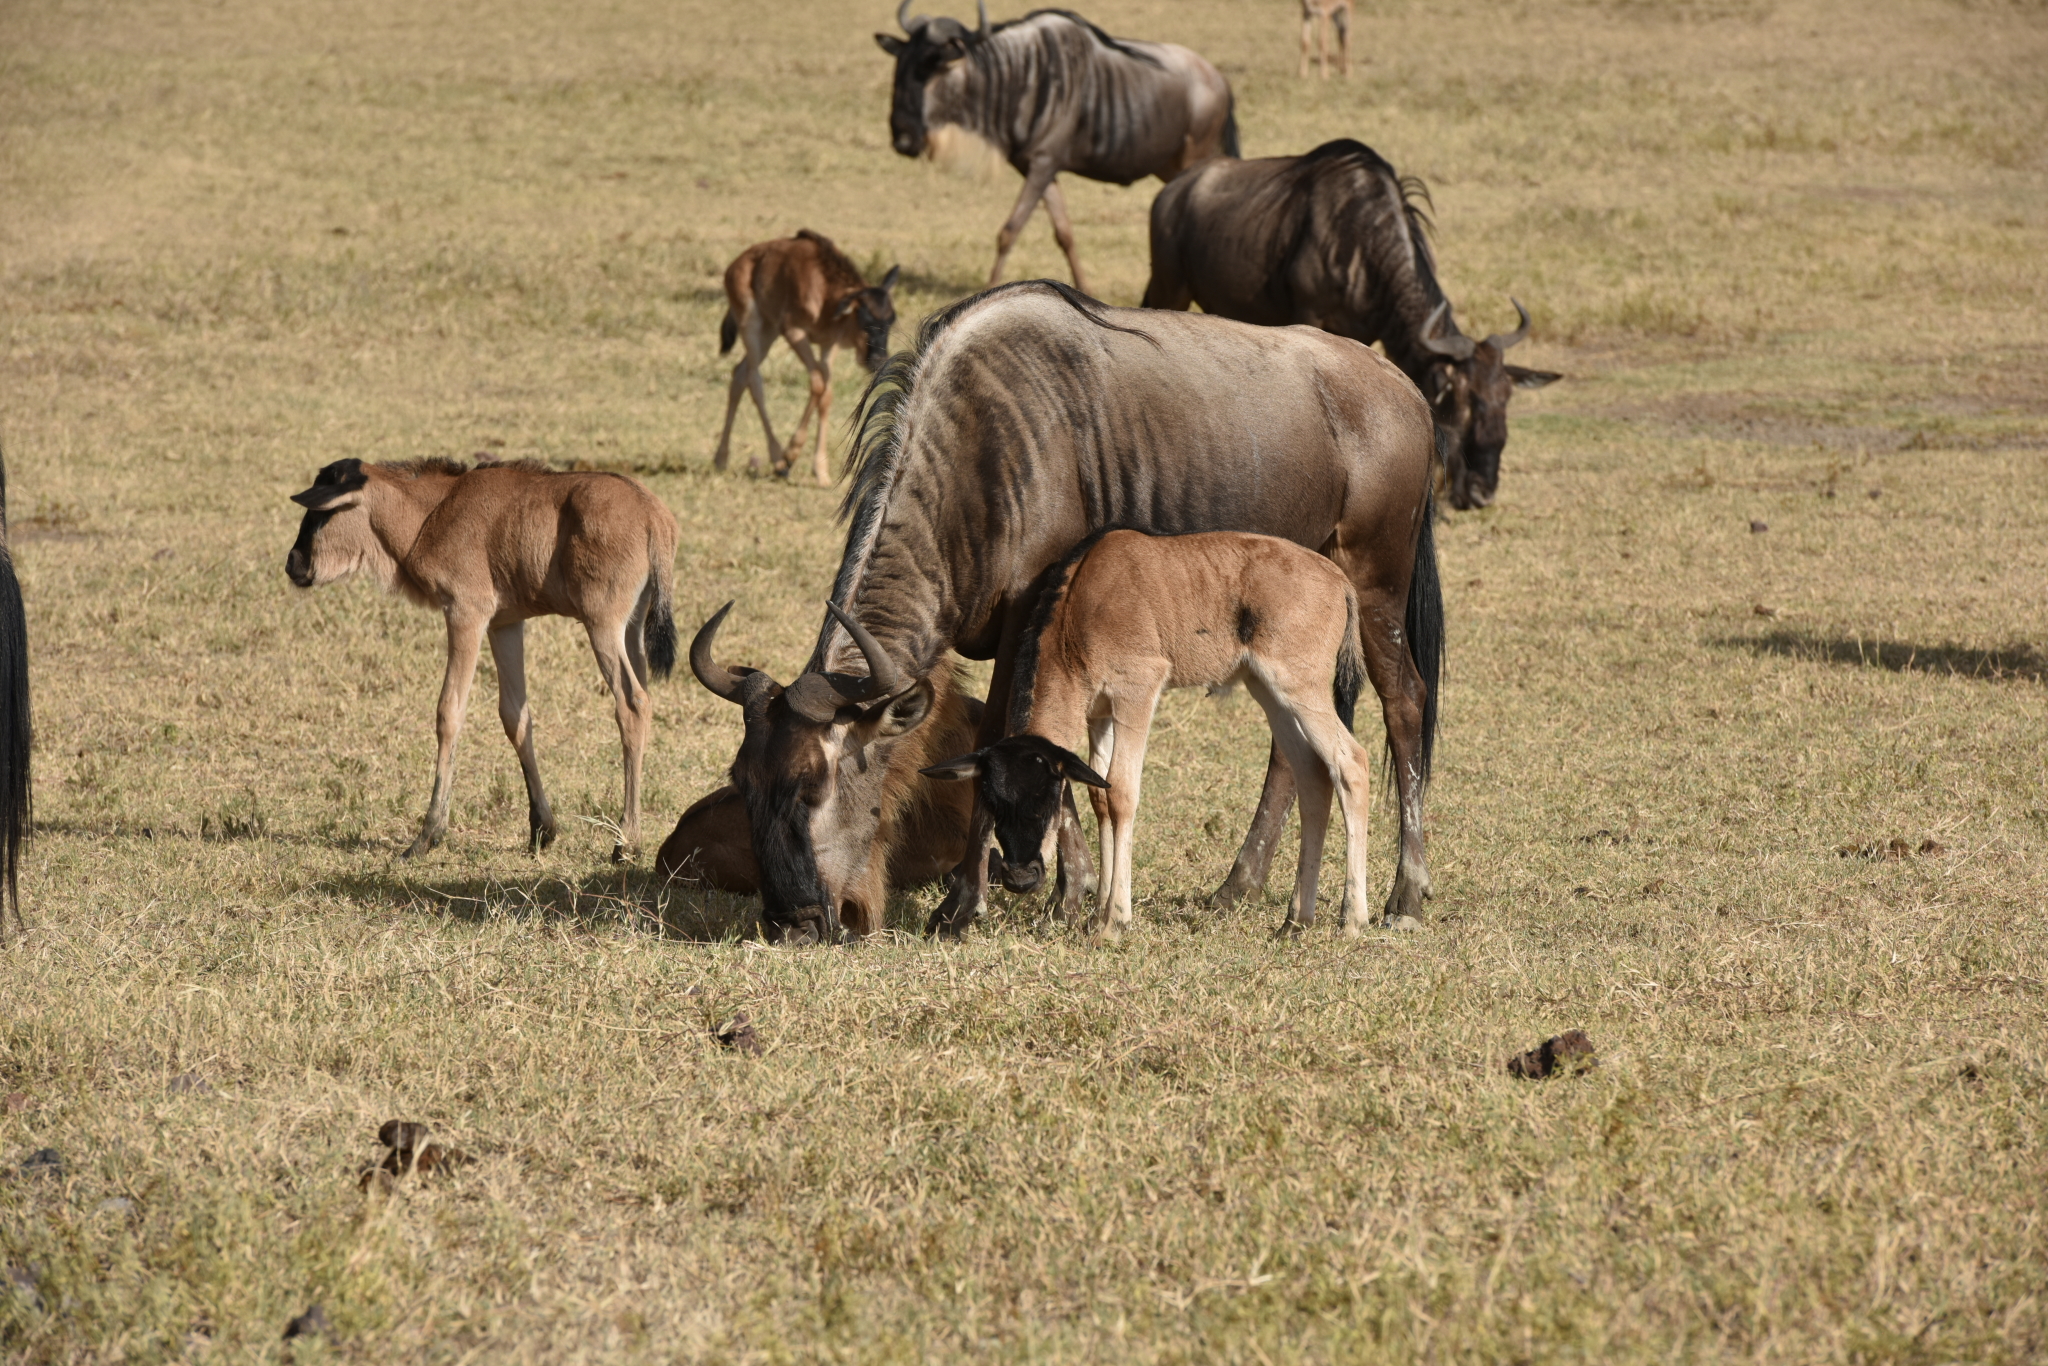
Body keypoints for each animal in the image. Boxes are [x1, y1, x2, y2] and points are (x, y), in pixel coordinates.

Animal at [286, 458, 679, 864]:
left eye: (322, 512)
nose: (293, 563)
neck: (433, 510)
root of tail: (653, 515)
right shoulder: (505, 624)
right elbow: (515, 717)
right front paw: (541, 829)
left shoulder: (466, 613)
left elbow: (449, 712)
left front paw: (427, 835)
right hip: (631, 627)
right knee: (642, 700)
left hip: (601, 624)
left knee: (631, 704)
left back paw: (626, 841)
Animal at [716, 232, 901, 489]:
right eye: (863, 317)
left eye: (891, 319)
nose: (878, 360)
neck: (824, 290)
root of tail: (735, 266)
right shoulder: (794, 332)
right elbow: (817, 383)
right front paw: (791, 454)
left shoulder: (828, 345)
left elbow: (826, 395)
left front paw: (821, 471)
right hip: (752, 325)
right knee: (753, 380)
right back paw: (778, 459)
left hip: (769, 331)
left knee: (739, 374)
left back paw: (721, 458)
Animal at [925, 532, 1376, 942]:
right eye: (991, 800)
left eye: (1048, 796)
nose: (1020, 878)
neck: (1080, 601)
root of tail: (1338, 580)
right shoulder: (1099, 716)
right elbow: (1100, 796)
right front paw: (1096, 915)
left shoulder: (1137, 691)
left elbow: (1122, 793)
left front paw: (1113, 923)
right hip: (1270, 692)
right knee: (1312, 774)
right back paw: (1296, 921)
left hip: (1301, 689)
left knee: (1351, 763)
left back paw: (1352, 920)